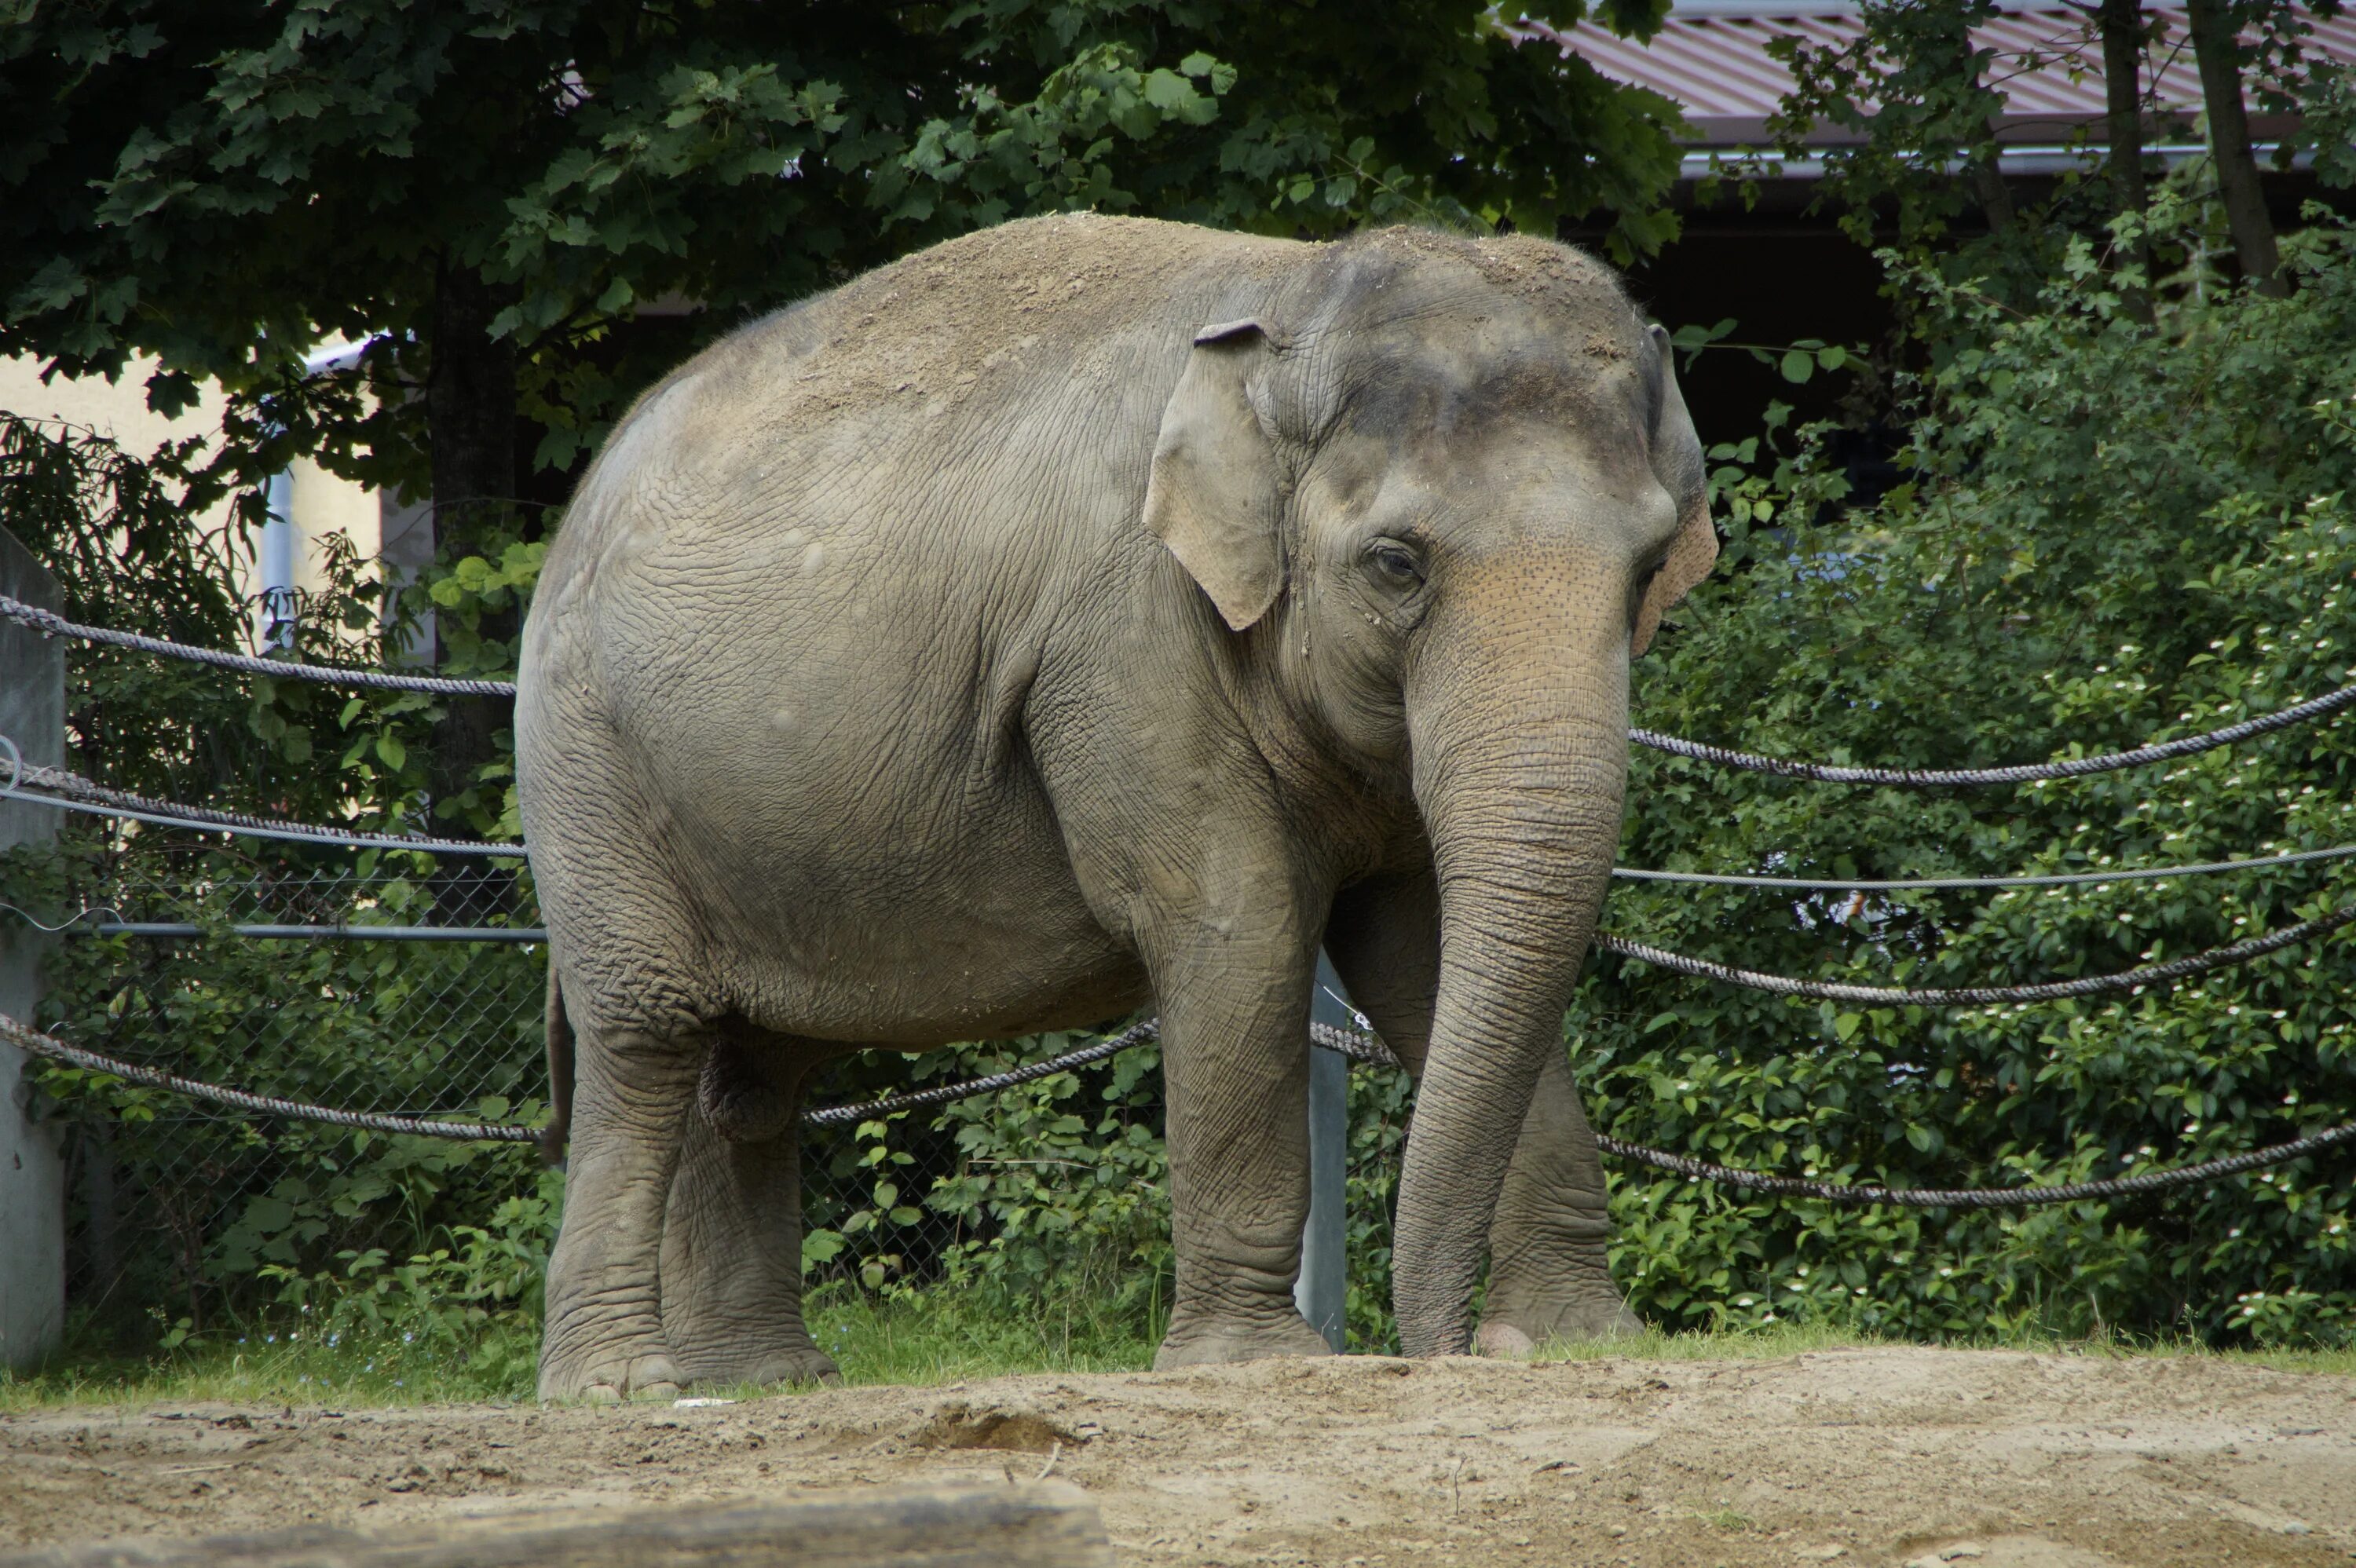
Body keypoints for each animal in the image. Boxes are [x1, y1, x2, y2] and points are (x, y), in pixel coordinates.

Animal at [525, 207, 1725, 1394]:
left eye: (1650, 567)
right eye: (1396, 564)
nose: (1445, 1348)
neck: (1294, 298)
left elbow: (1419, 953)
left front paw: (1576, 1340)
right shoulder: (1128, 638)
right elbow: (1239, 926)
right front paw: (1251, 1362)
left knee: (750, 1070)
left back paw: (765, 1378)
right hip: (587, 761)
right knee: (648, 1030)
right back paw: (625, 1385)